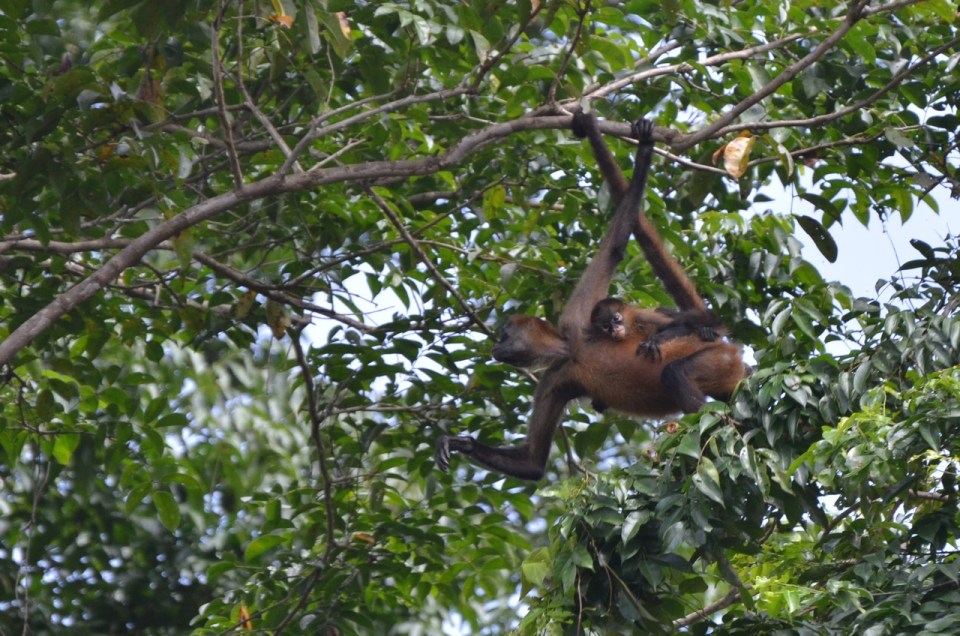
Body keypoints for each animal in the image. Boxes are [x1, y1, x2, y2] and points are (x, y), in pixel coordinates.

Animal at [435, 112, 747, 480]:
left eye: (504, 335)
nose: (495, 347)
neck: (572, 351)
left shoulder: (577, 319)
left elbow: (616, 243)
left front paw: (642, 149)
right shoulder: (556, 377)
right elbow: (532, 463)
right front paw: (460, 443)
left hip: (718, 359)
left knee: (676, 372)